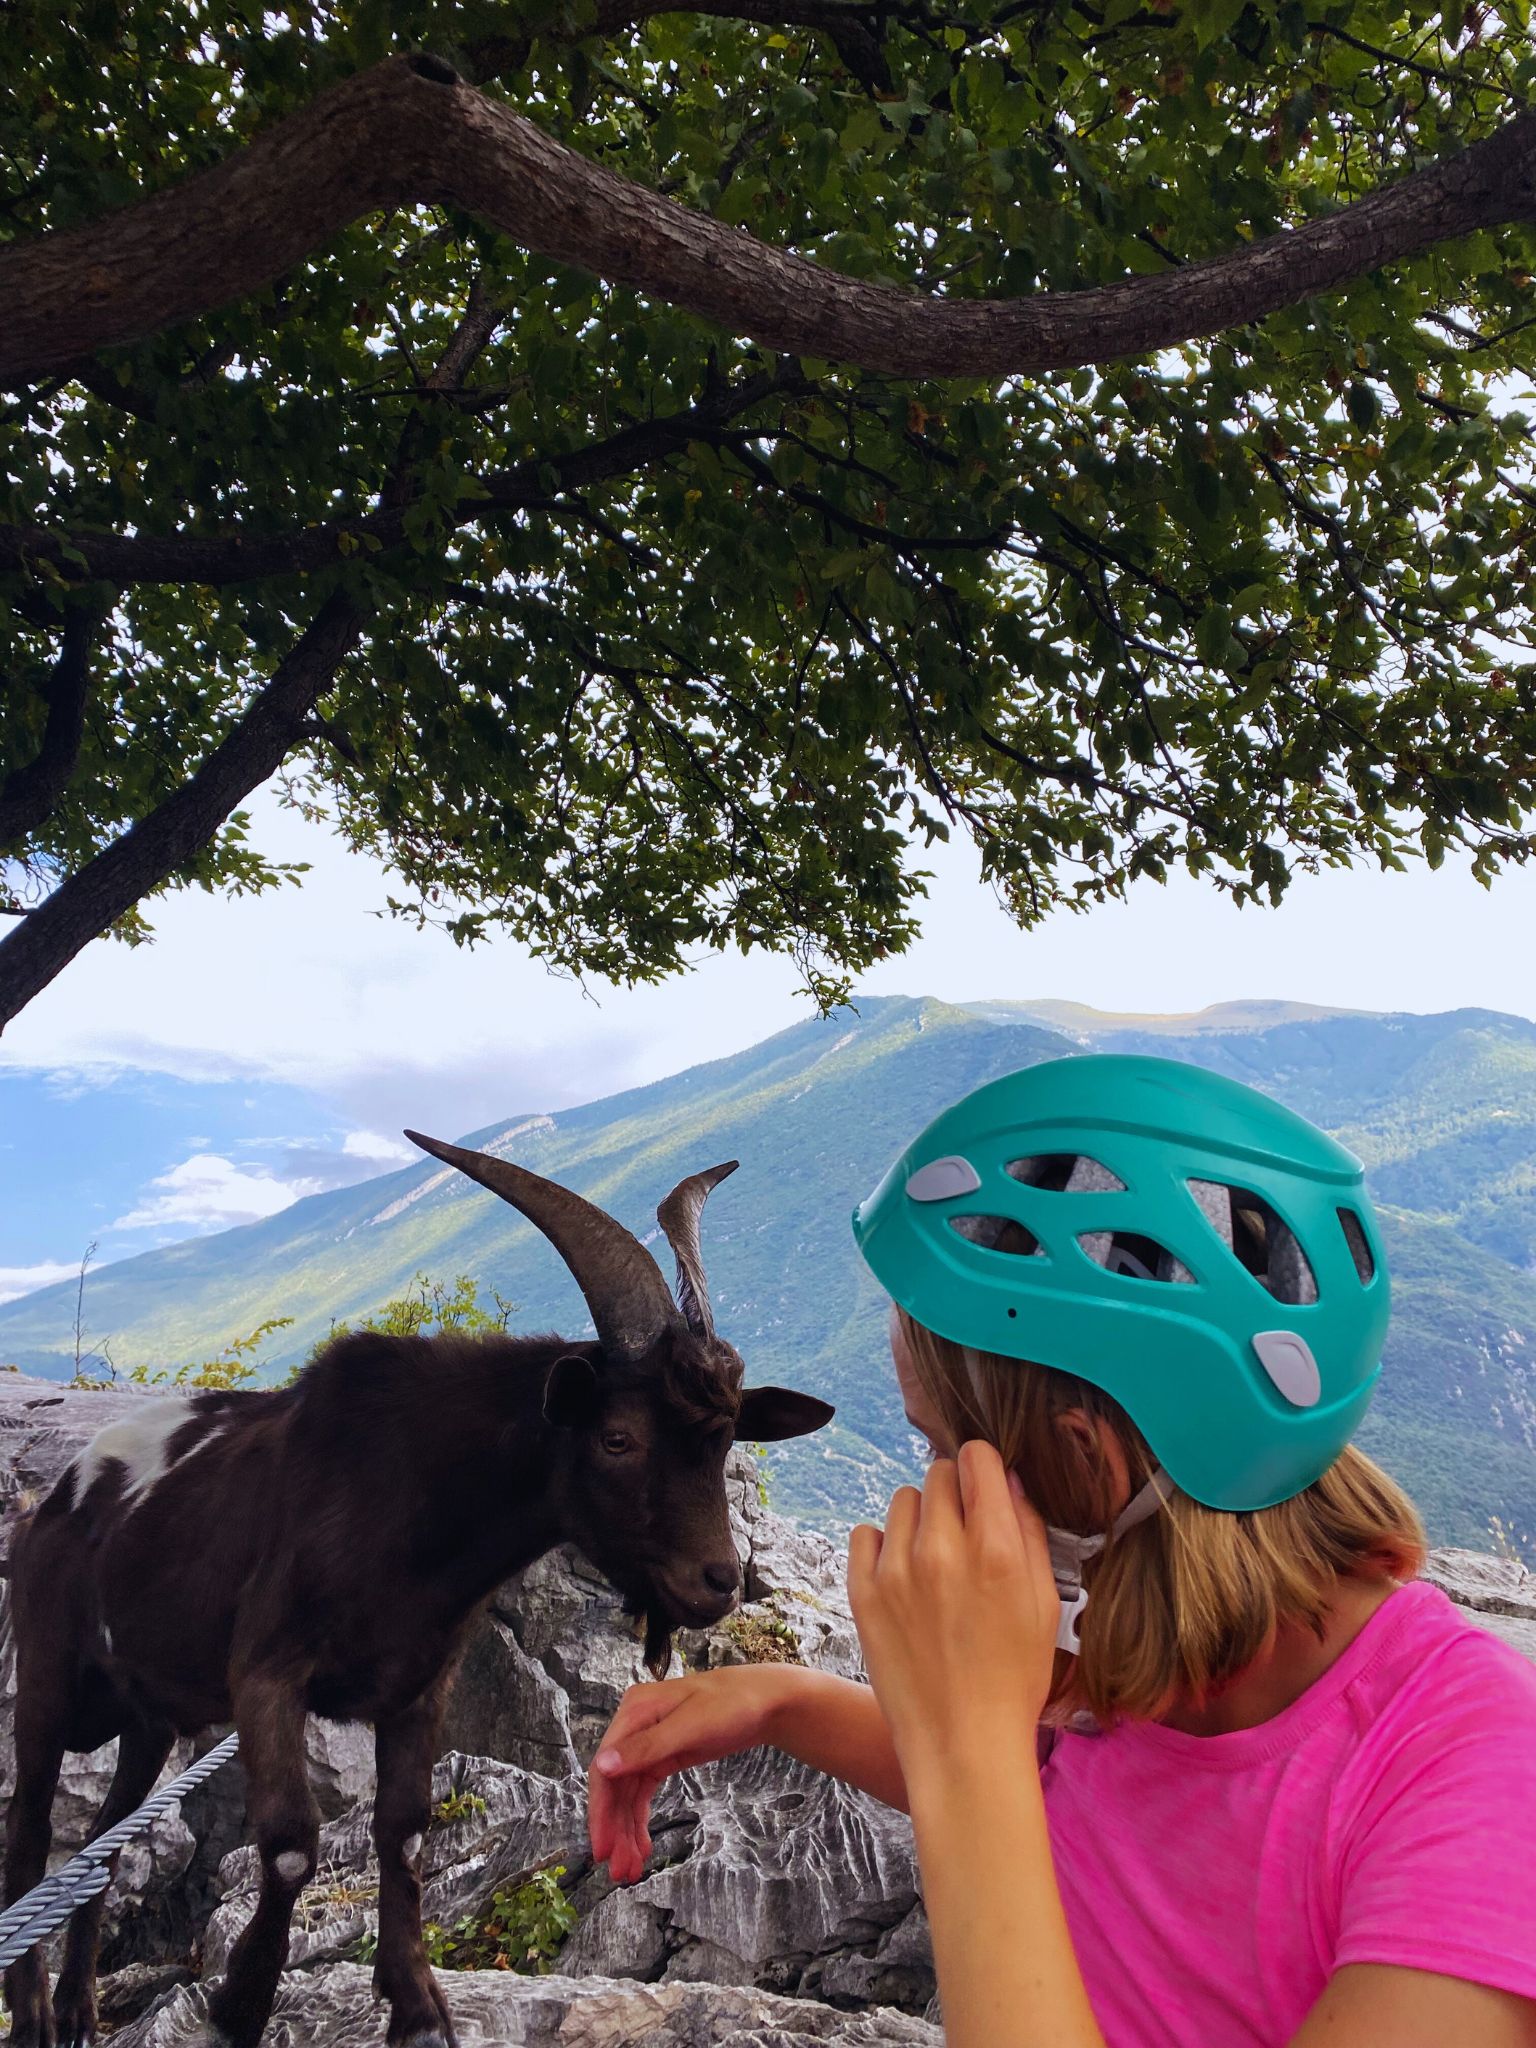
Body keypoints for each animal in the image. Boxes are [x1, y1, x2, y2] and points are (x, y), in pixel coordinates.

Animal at [2, 1138, 832, 2048]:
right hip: (44, 1677)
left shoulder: (418, 1688)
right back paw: (33, 2008)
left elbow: (402, 1833)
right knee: (31, 1834)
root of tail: (53, 1507)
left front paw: (418, 2006)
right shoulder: (266, 1672)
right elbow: (290, 1841)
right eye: (618, 1439)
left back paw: (77, 2008)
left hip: (148, 1717)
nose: (714, 1583)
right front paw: (241, 2001)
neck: (409, 1503)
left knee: (104, 1843)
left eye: (723, 1442)